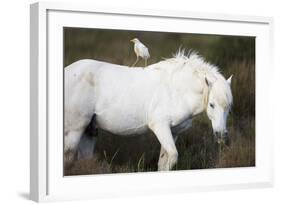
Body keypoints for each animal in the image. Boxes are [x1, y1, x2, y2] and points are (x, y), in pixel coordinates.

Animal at [64, 50, 232, 171]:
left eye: (229, 108)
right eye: (212, 105)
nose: (221, 135)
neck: (176, 90)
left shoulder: (173, 132)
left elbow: (164, 163)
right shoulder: (160, 126)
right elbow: (172, 156)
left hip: (88, 130)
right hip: (75, 129)